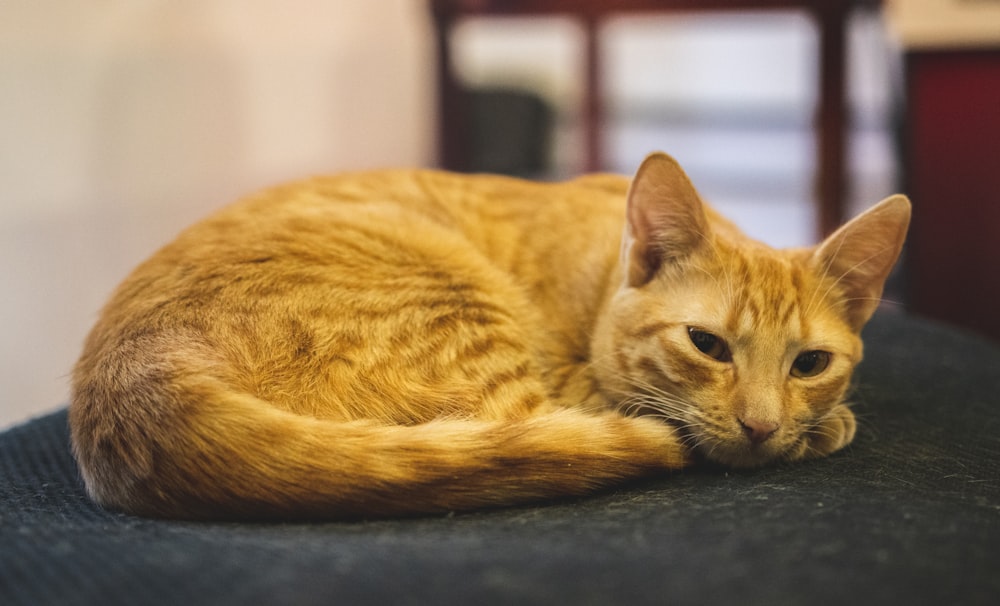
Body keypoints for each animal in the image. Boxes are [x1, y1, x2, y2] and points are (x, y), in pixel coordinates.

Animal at [70, 153, 912, 524]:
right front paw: (822, 429)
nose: (762, 426)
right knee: (532, 430)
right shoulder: (584, 383)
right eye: (708, 345)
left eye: (810, 362)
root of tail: (130, 387)